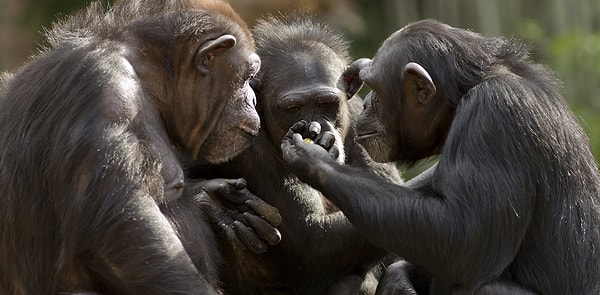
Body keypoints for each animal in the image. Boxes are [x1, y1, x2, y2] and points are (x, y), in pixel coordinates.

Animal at [0, 1, 282, 294]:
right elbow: (125, 229)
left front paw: (217, 202)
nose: (252, 98)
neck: (146, 76)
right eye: (248, 76)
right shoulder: (105, 92)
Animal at [188, 13, 404, 295]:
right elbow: (311, 238)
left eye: (325, 103)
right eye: (293, 108)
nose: (315, 127)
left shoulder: (362, 119)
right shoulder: (248, 147)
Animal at [282, 19, 600, 295]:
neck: (463, 94)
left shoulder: (494, 115)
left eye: (375, 89)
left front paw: (314, 158)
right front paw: (399, 279)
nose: (367, 102)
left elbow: (464, 238)